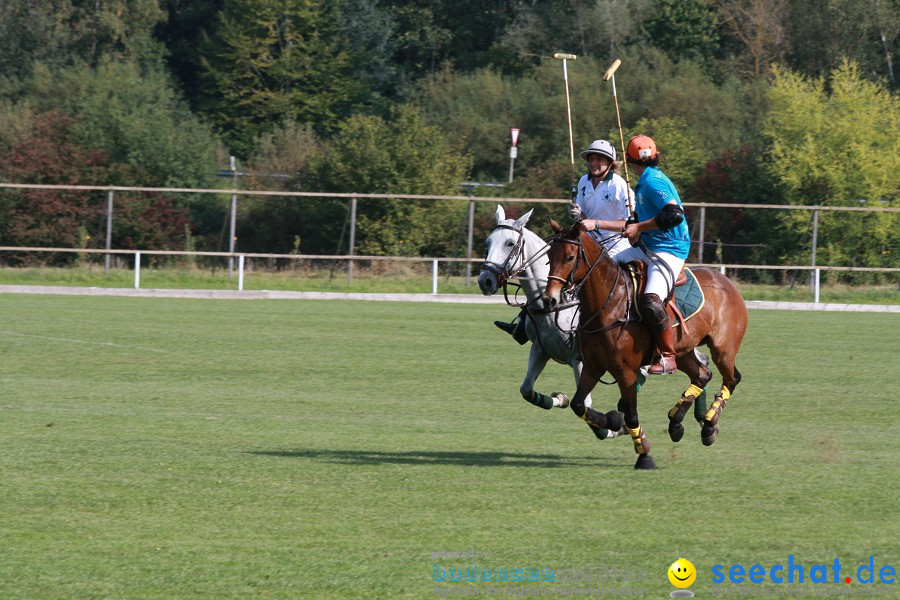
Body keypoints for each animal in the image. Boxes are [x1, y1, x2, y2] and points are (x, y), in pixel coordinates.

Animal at [478, 206, 620, 440]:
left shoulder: (581, 360)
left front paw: (614, 428)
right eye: (488, 242)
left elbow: (586, 405)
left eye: (510, 243)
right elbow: (527, 390)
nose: (485, 281)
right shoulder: (540, 349)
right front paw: (560, 398)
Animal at [540, 220, 744, 468]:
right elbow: (579, 404)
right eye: (549, 255)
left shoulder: (626, 372)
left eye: (570, 257)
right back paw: (678, 422)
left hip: (723, 348)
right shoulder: (592, 366)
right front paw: (610, 421)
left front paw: (644, 453)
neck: (609, 304)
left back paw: (709, 423)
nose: (549, 299)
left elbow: (630, 413)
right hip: (682, 350)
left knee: (731, 378)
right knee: (702, 375)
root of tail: (726, 281)